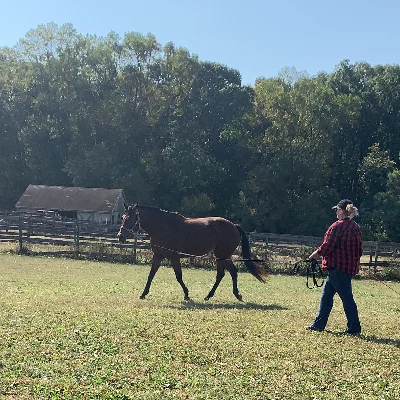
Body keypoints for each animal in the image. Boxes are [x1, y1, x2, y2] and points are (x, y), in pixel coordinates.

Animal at [119, 205, 268, 302]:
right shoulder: (158, 256)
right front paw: (143, 294)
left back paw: (231, 295)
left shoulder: (174, 257)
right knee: (225, 273)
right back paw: (213, 295)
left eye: (130, 219)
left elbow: (178, 277)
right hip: (221, 256)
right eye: (122, 217)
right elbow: (151, 275)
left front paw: (186, 294)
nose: (120, 236)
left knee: (229, 273)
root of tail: (233, 226)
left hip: (222, 255)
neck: (163, 227)